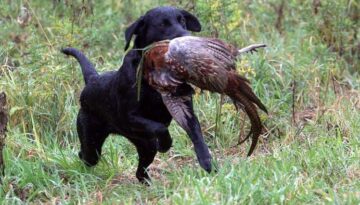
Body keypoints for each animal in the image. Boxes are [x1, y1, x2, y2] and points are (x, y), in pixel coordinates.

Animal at [61, 6, 212, 183]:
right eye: (162, 24)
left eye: (182, 20)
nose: (187, 39)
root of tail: (92, 79)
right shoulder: (129, 116)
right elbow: (160, 127)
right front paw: (165, 144)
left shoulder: (186, 111)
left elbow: (196, 133)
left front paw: (207, 161)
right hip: (92, 142)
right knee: (84, 155)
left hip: (145, 146)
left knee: (140, 172)